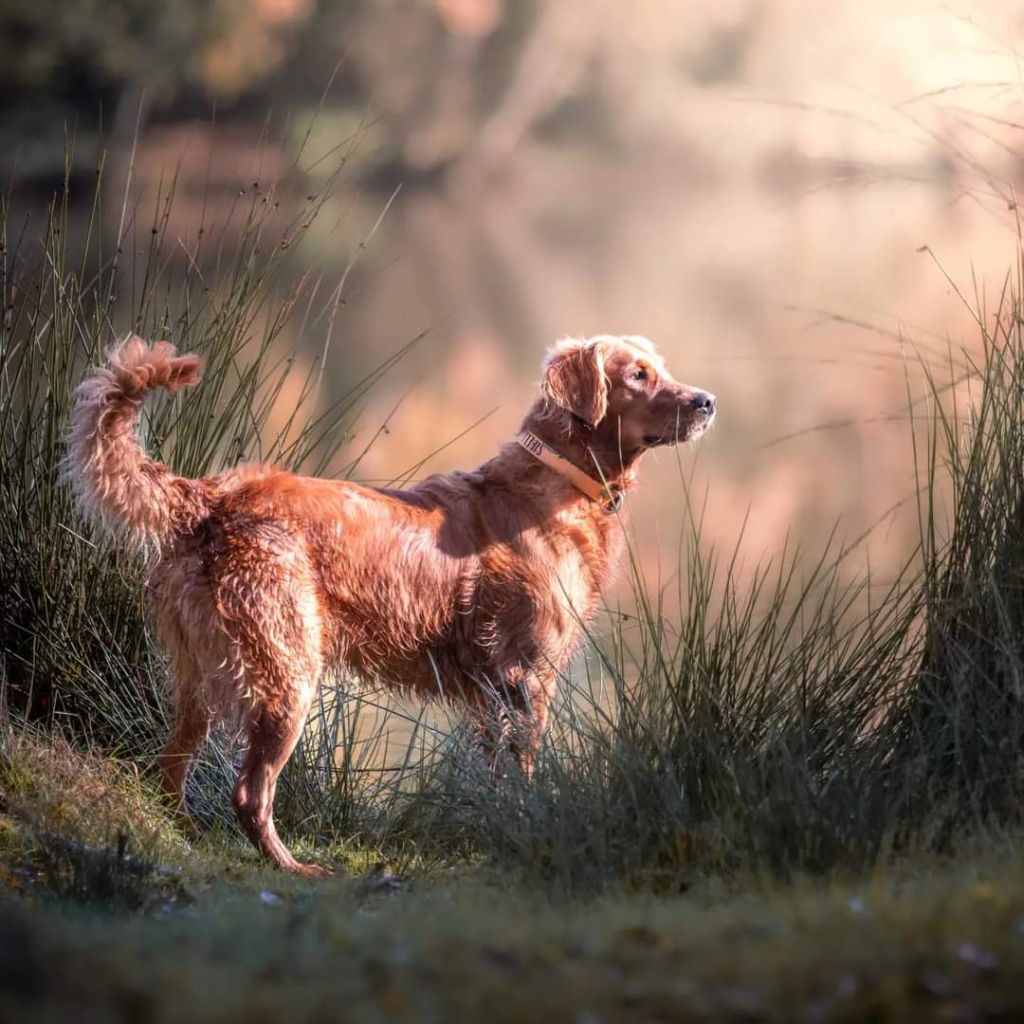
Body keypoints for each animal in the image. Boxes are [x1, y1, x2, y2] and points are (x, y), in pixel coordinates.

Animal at [68, 333, 716, 872]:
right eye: (637, 375)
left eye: (660, 368)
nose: (706, 401)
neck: (560, 483)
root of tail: (211, 495)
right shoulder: (526, 677)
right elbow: (523, 771)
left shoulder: (489, 695)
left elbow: (492, 775)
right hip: (287, 673)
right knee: (249, 792)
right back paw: (294, 867)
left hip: (197, 680)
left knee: (169, 770)